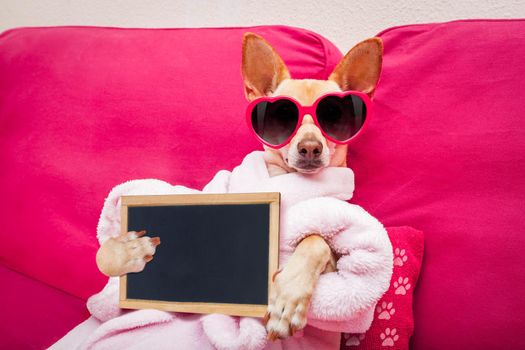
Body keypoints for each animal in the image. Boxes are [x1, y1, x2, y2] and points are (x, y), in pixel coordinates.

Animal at [95, 32, 380, 342]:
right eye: (282, 116)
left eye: (334, 118)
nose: (310, 147)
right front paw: (125, 252)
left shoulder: (336, 264)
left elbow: (315, 241)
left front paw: (287, 299)